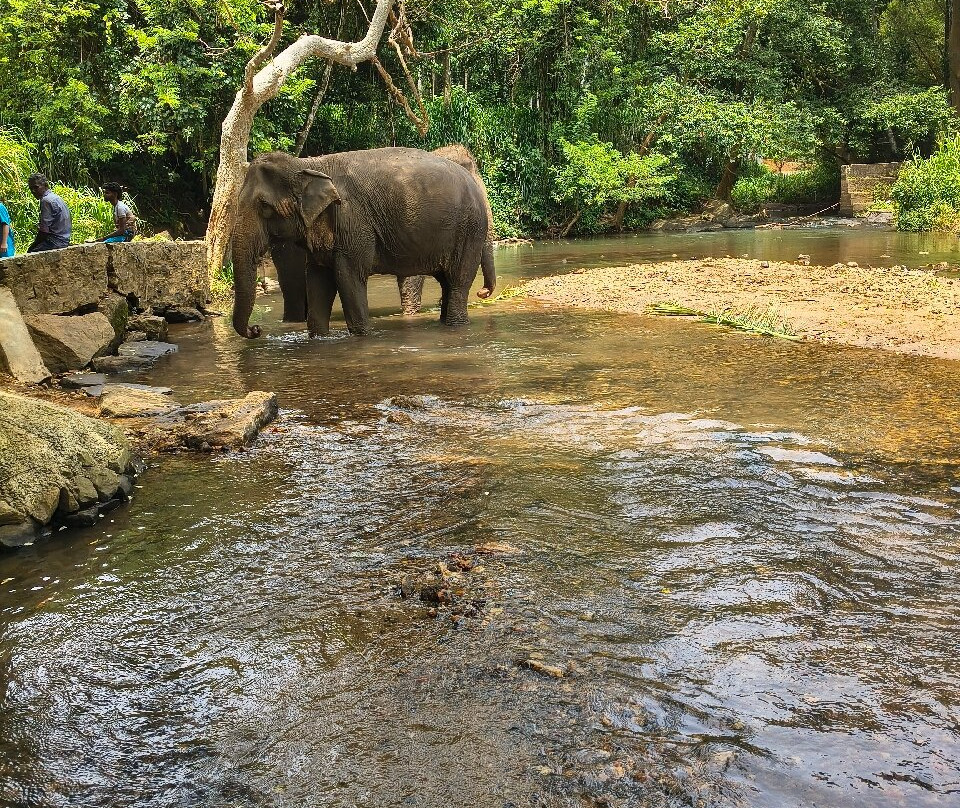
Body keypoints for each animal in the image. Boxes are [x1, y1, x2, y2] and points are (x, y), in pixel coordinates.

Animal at [231, 147, 496, 339]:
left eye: (264, 206)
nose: (256, 330)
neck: (308, 164)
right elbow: (318, 279)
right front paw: (320, 338)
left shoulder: (353, 221)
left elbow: (348, 277)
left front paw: (363, 336)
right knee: (448, 283)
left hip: (468, 230)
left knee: (458, 281)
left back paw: (455, 326)